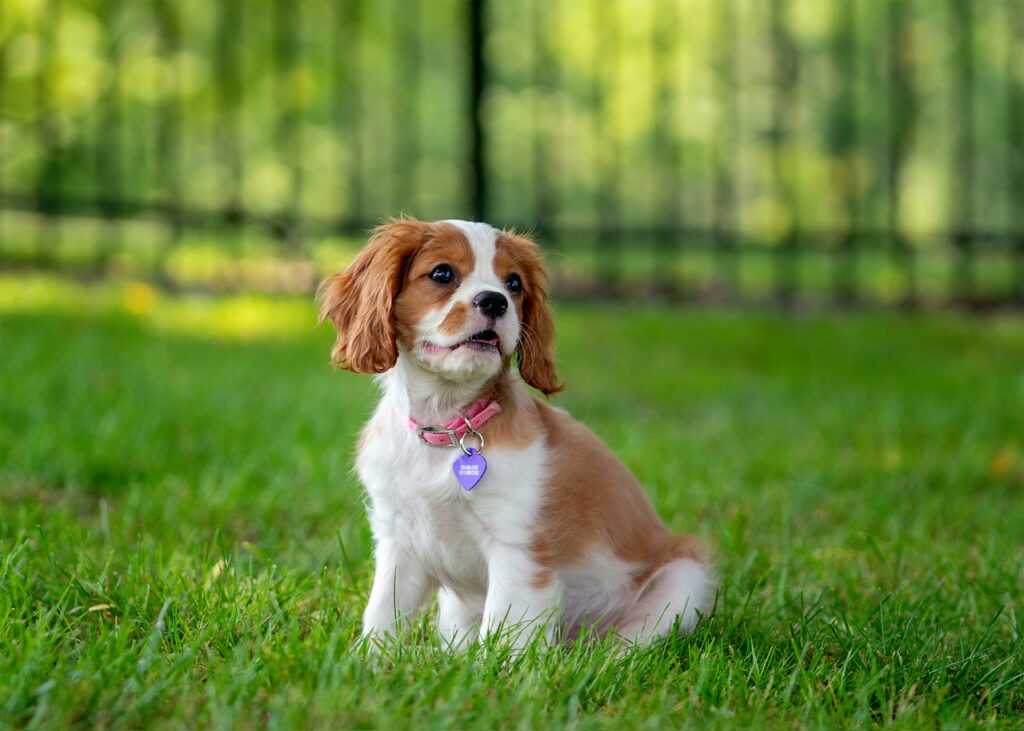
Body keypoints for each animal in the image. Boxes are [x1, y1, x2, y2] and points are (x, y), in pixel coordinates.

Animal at [317, 218, 712, 651]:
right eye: (442, 274)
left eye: (514, 284)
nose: (495, 301)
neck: (448, 427)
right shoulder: (398, 540)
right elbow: (383, 614)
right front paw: (371, 660)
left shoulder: (518, 546)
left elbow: (504, 631)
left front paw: (496, 668)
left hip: (683, 579)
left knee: (626, 645)